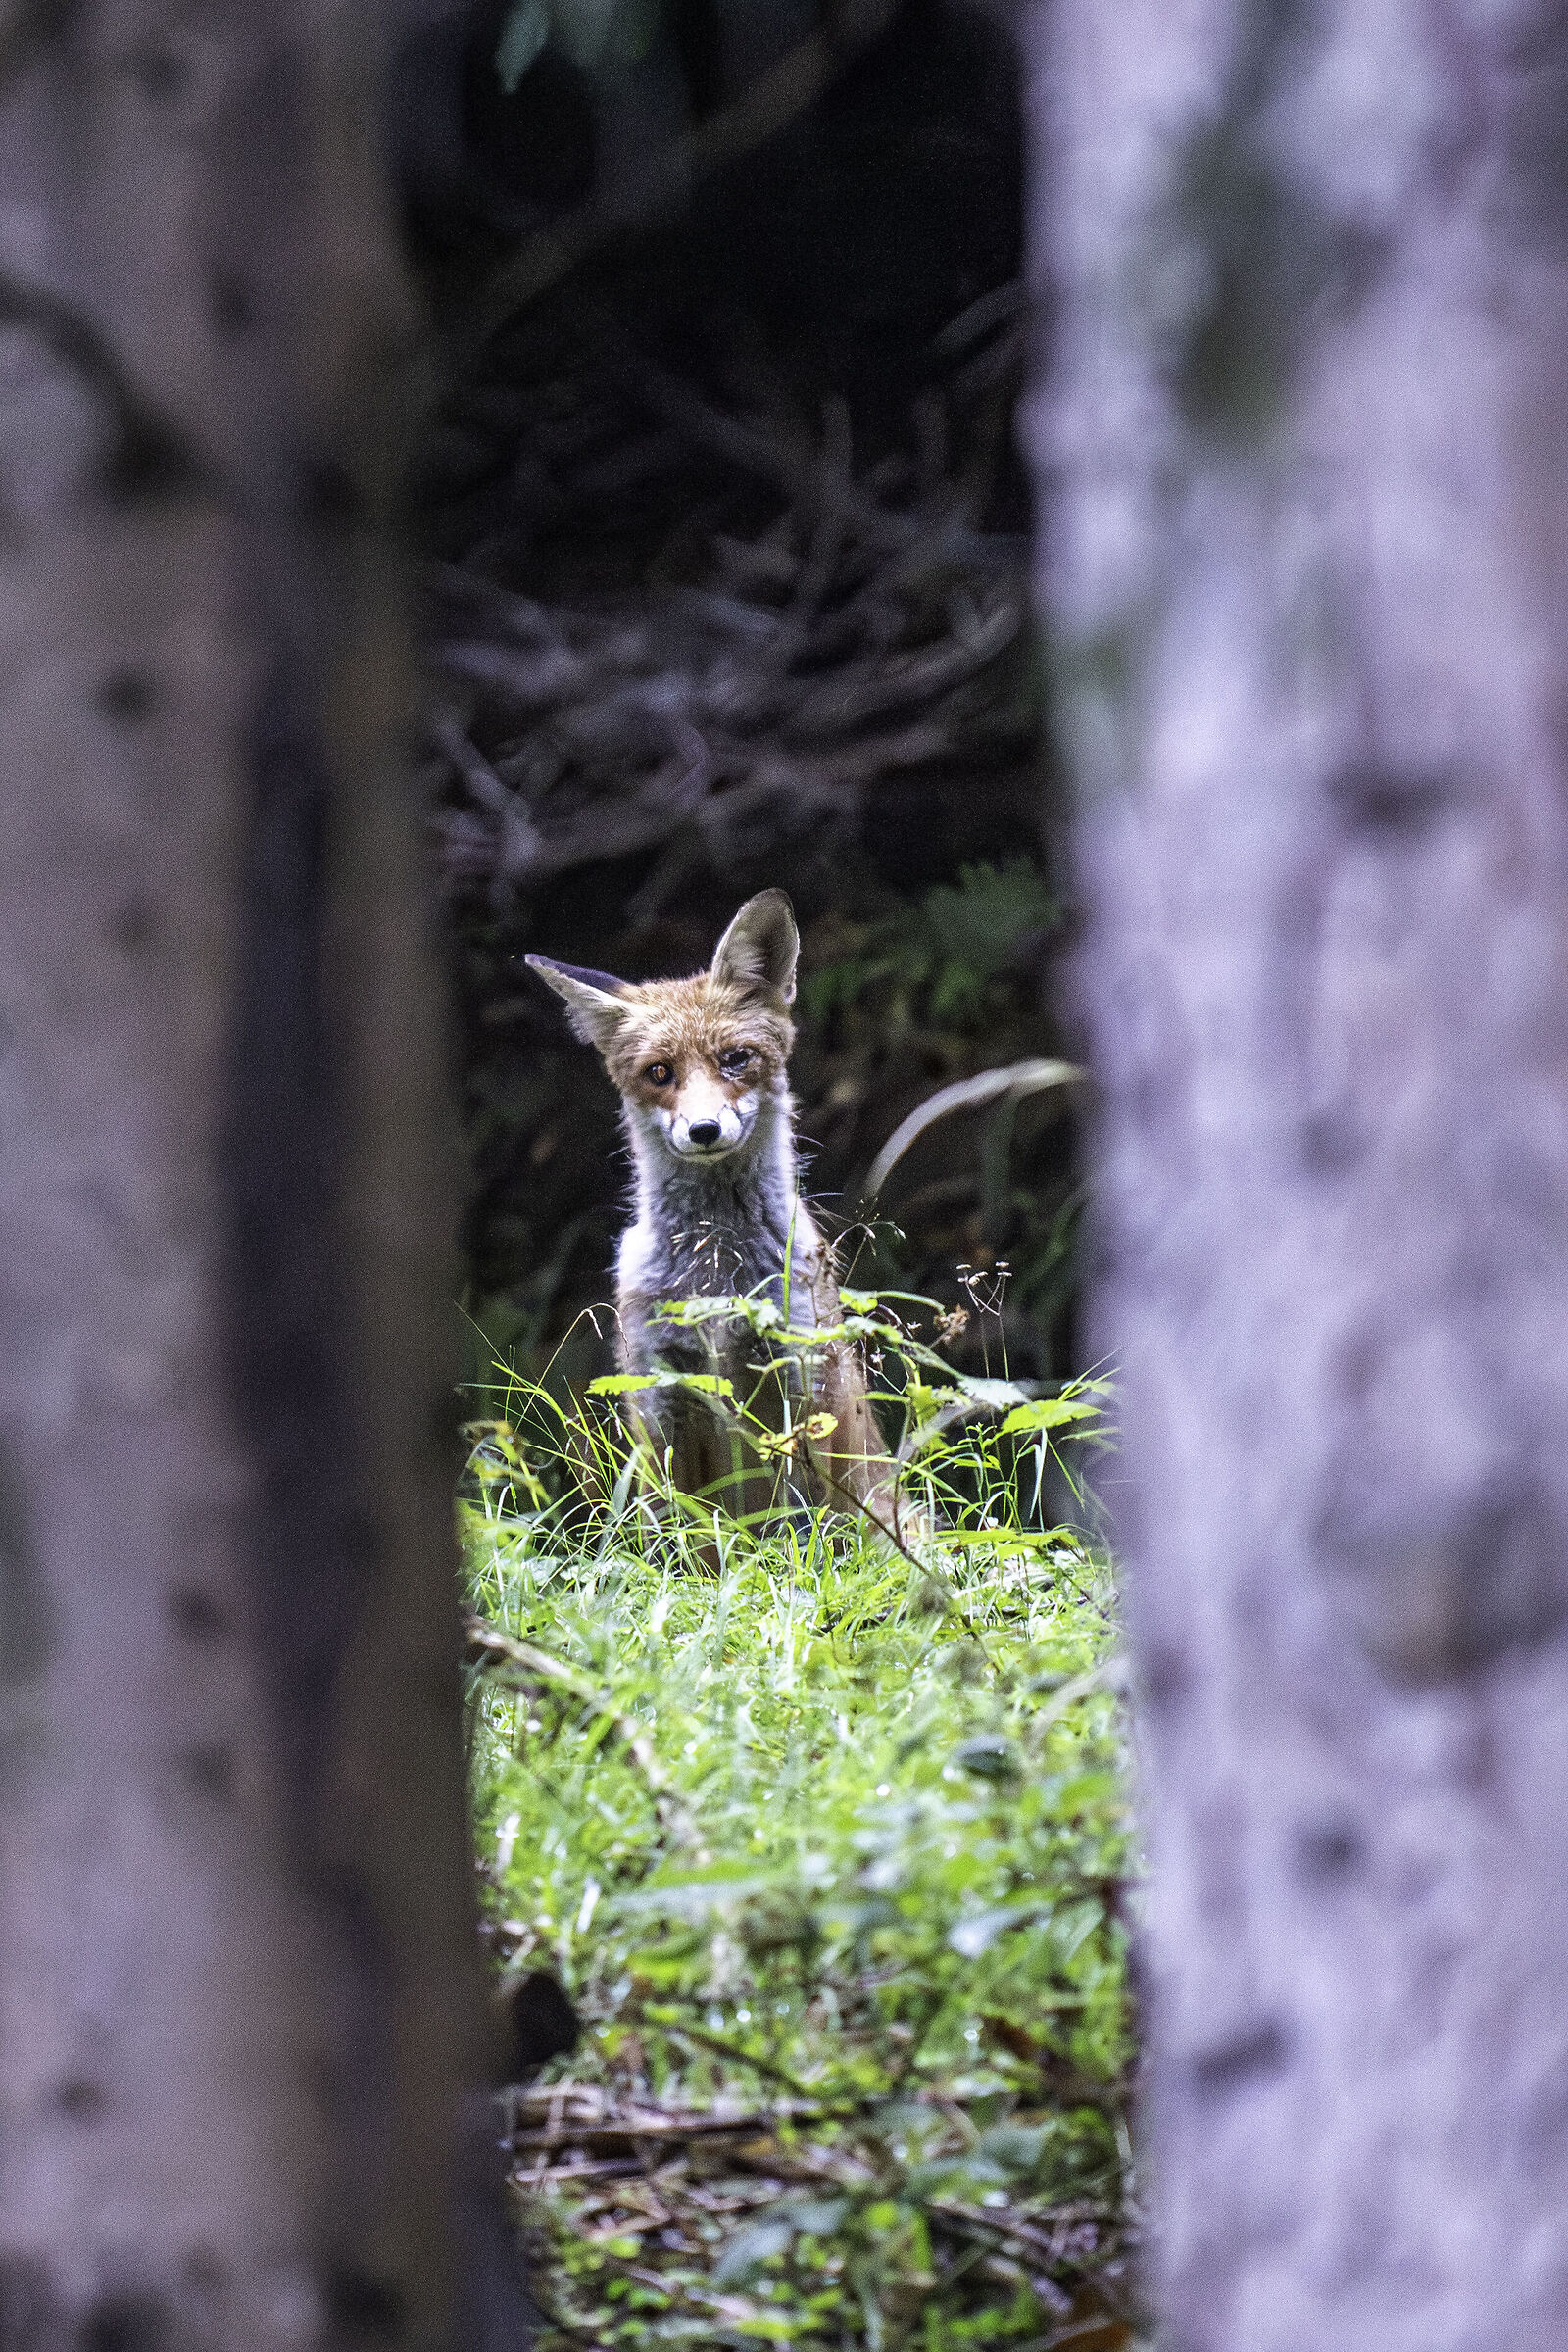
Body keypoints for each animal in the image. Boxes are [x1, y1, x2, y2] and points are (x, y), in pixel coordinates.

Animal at [527, 890, 909, 1539]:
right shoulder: (660, 1398)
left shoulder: (801, 1384)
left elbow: (803, 1531)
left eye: (736, 1059)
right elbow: (684, 1542)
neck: (716, 1271)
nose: (704, 1129)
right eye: (660, 1072)